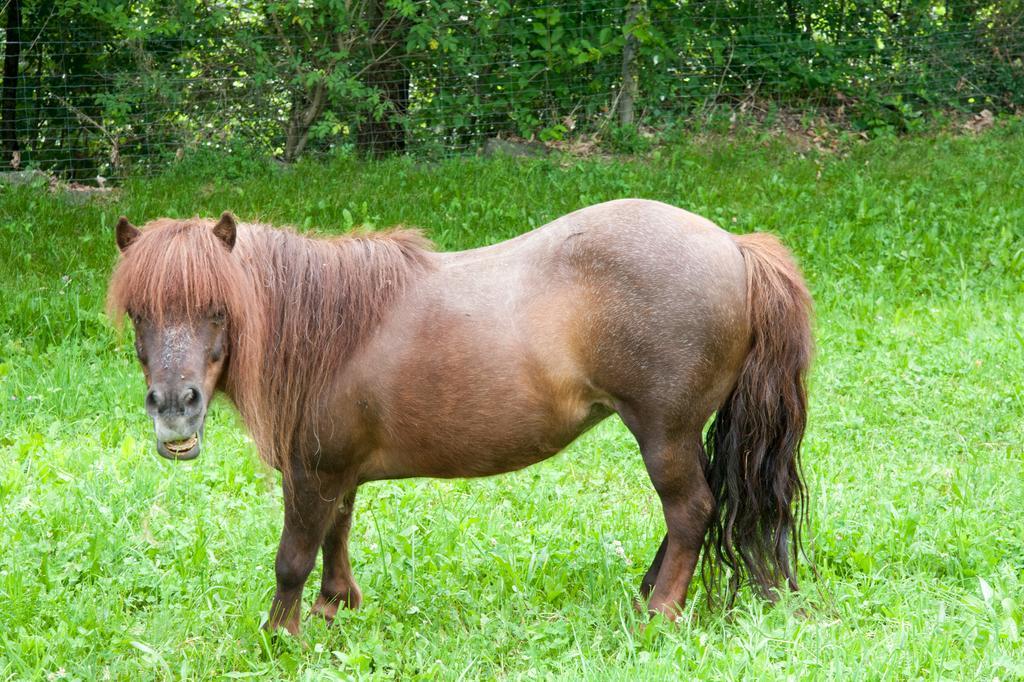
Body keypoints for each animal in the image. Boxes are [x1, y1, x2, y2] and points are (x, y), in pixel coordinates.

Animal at [110, 196, 815, 630]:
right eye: (139, 312)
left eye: (217, 309)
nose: (173, 410)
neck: (325, 329)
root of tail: (734, 247)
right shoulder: (337, 470)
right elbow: (338, 534)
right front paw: (334, 610)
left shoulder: (311, 474)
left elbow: (293, 558)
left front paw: (280, 636)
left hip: (664, 433)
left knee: (691, 511)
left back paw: (659, 613)